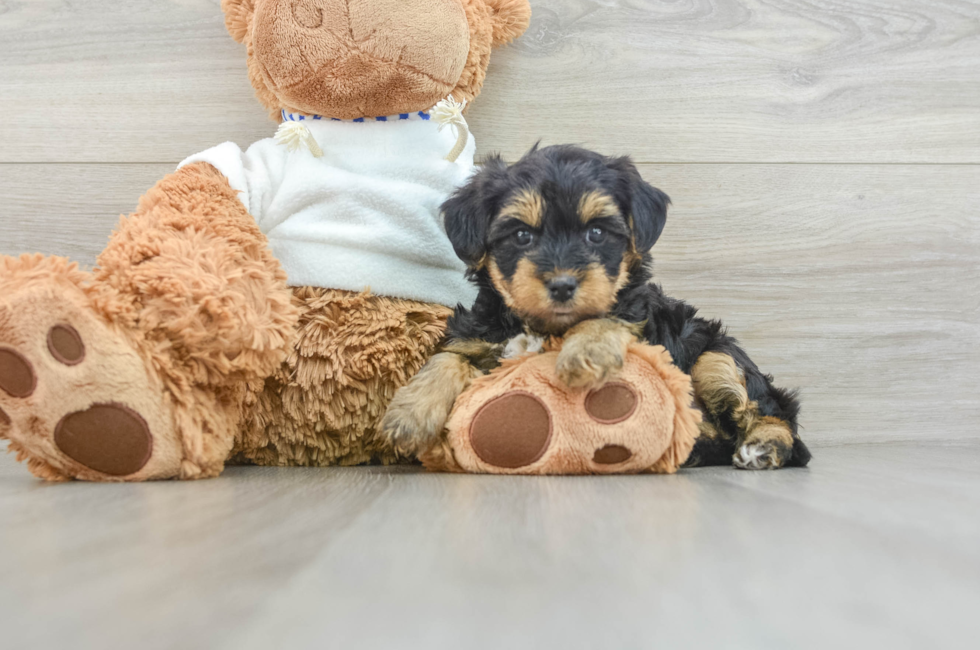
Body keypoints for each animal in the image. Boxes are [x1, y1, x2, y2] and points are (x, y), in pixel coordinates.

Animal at [382, 144, 812, 468]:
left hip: (717, 355)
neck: (545, 327)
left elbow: (608, 318)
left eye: (596, 233)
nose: (562, 284)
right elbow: (447, 357)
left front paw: (584, 352)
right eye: (521, 235)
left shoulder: (638, 321)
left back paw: (764, 446)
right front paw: (409, 414)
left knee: (771, 408)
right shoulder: (477, 335)